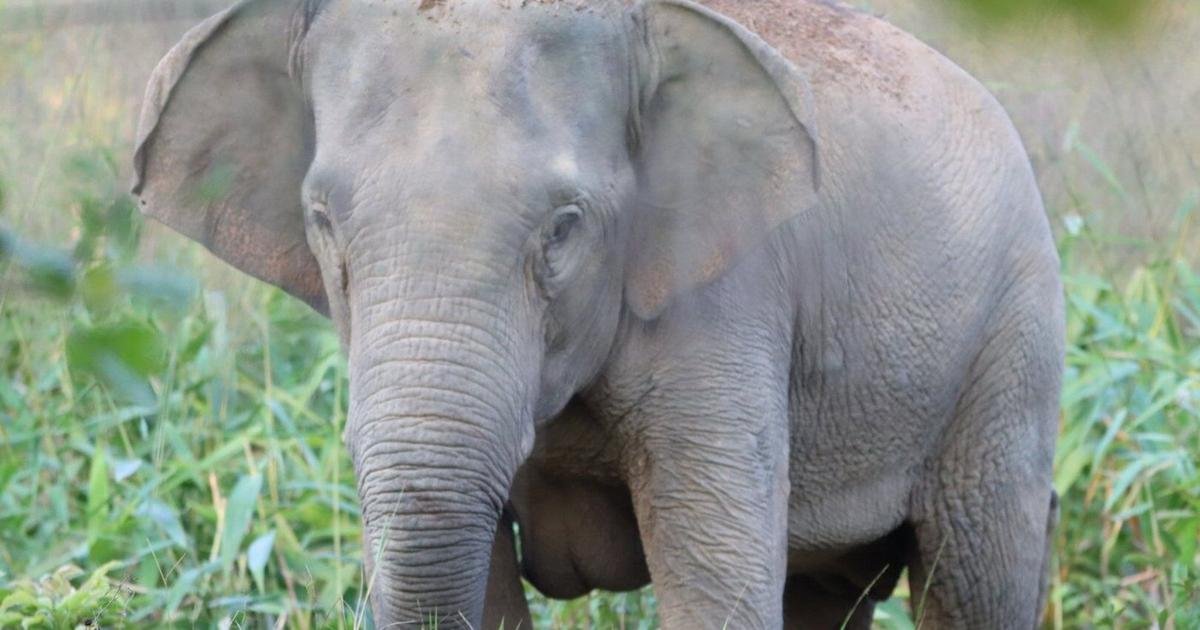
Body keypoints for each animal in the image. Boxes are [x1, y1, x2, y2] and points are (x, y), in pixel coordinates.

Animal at [131, 0, 1064, 627]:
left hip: (1010, 351)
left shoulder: (727, 301)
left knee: (977, 572)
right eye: (322, 218)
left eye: (563, 225)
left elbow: (717, 571)